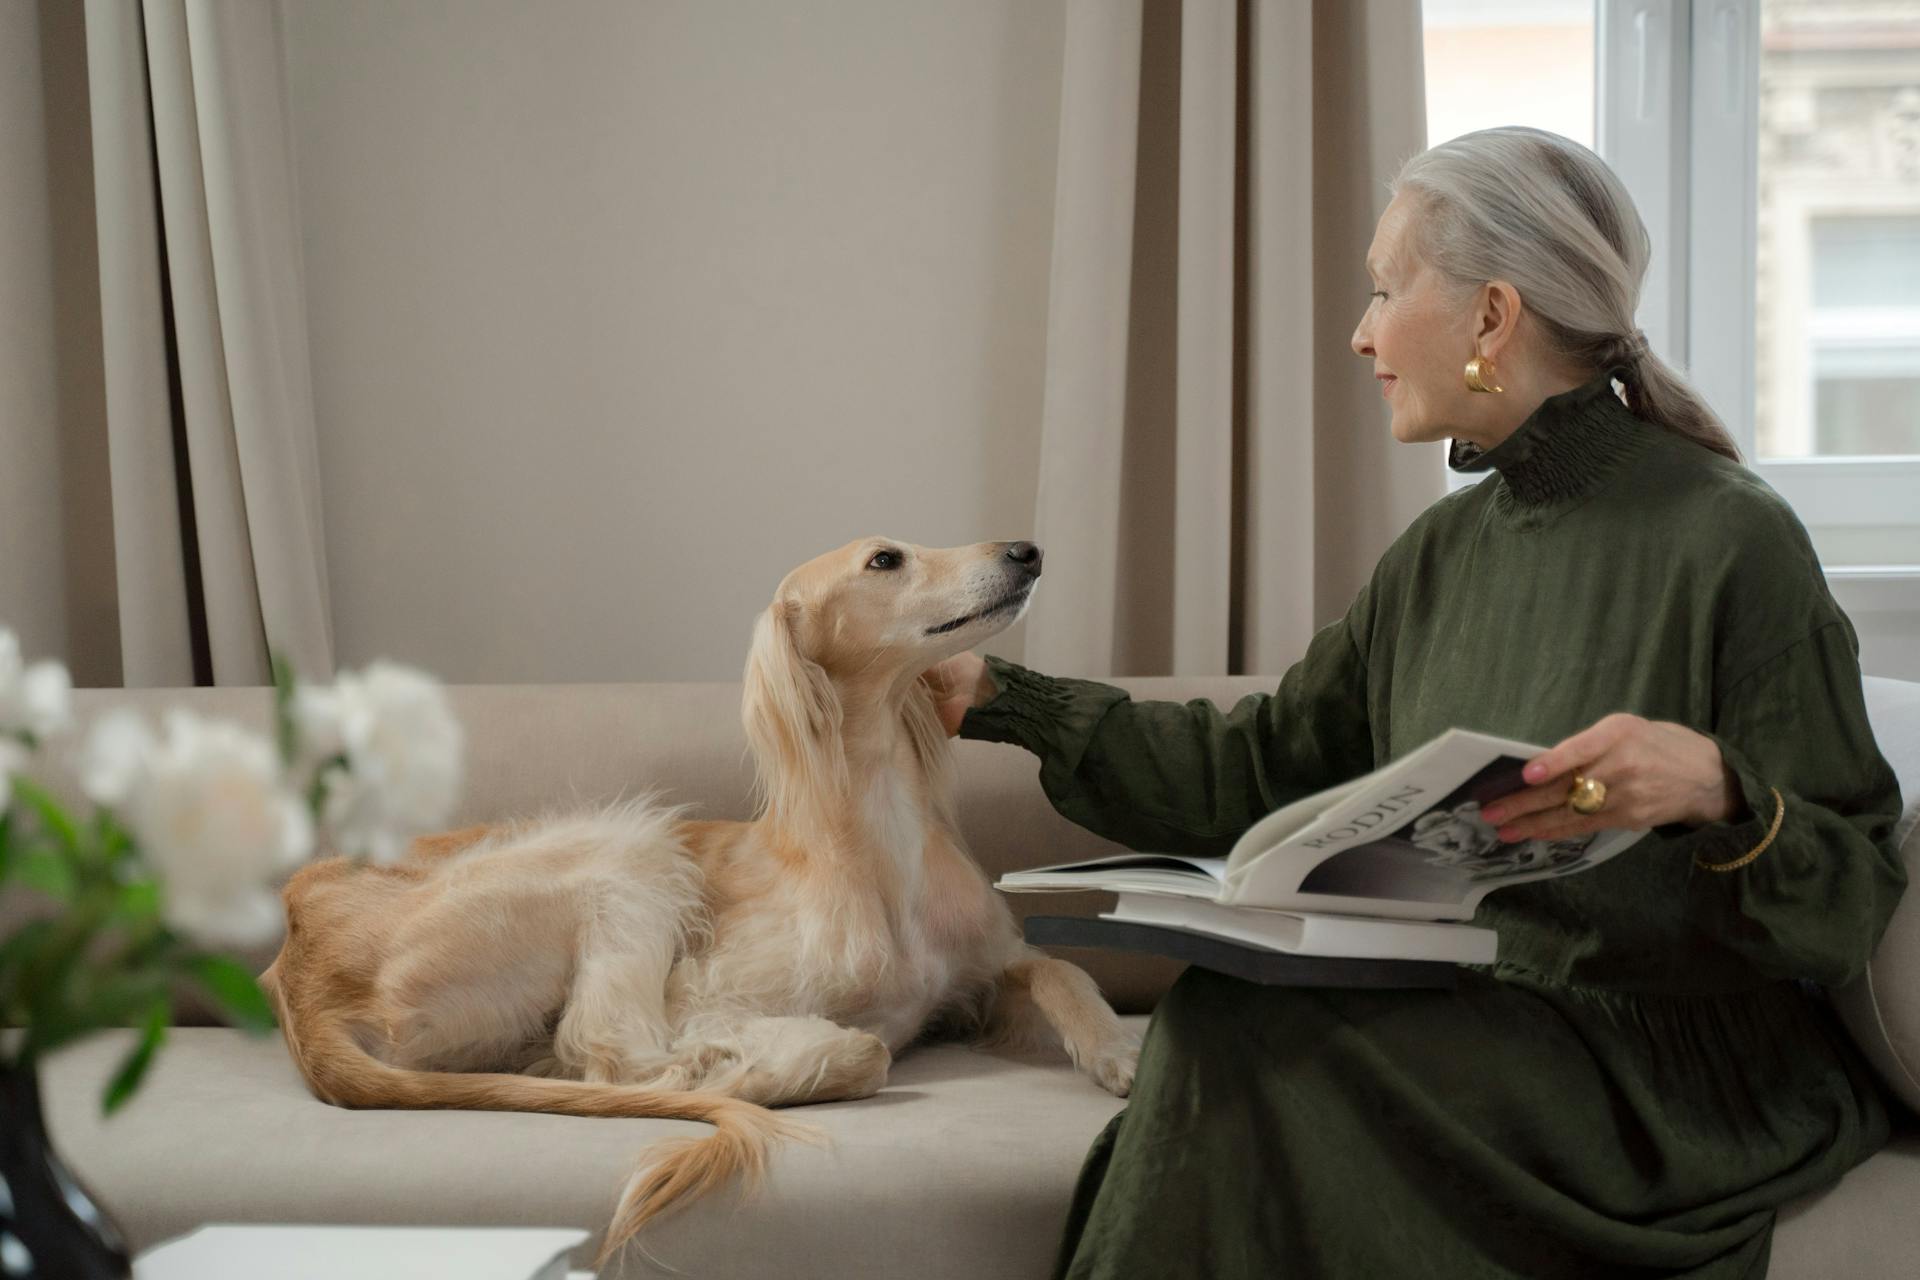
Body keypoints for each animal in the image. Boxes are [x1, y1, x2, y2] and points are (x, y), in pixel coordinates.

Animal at [264, 537, 1144, 1274]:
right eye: (885, 558)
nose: (1026, 550)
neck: (876, 833)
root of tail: (298, 969)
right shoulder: (707, 994)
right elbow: (858, 1047)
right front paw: (777, 1056)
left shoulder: (990, 967)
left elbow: (1063, 970)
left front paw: (1120, 1052)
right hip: (626, 850)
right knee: (616, 1053)